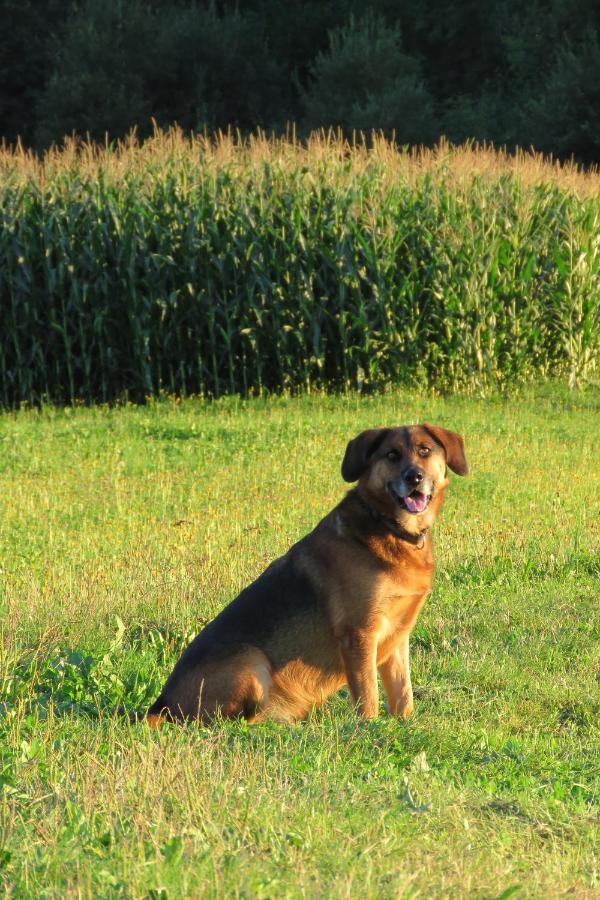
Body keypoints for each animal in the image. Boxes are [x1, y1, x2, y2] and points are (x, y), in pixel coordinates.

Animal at [148, 426, 466, 728]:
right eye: (392, 455)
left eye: (425, 450)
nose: (414, 477)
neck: (388, 526)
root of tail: (161, 705)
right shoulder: (359, 634)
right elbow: (368, 696)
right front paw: (369, 728)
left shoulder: (398, 637)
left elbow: (403, 694)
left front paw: (405, 725)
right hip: (252, 663)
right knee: (232, 722)